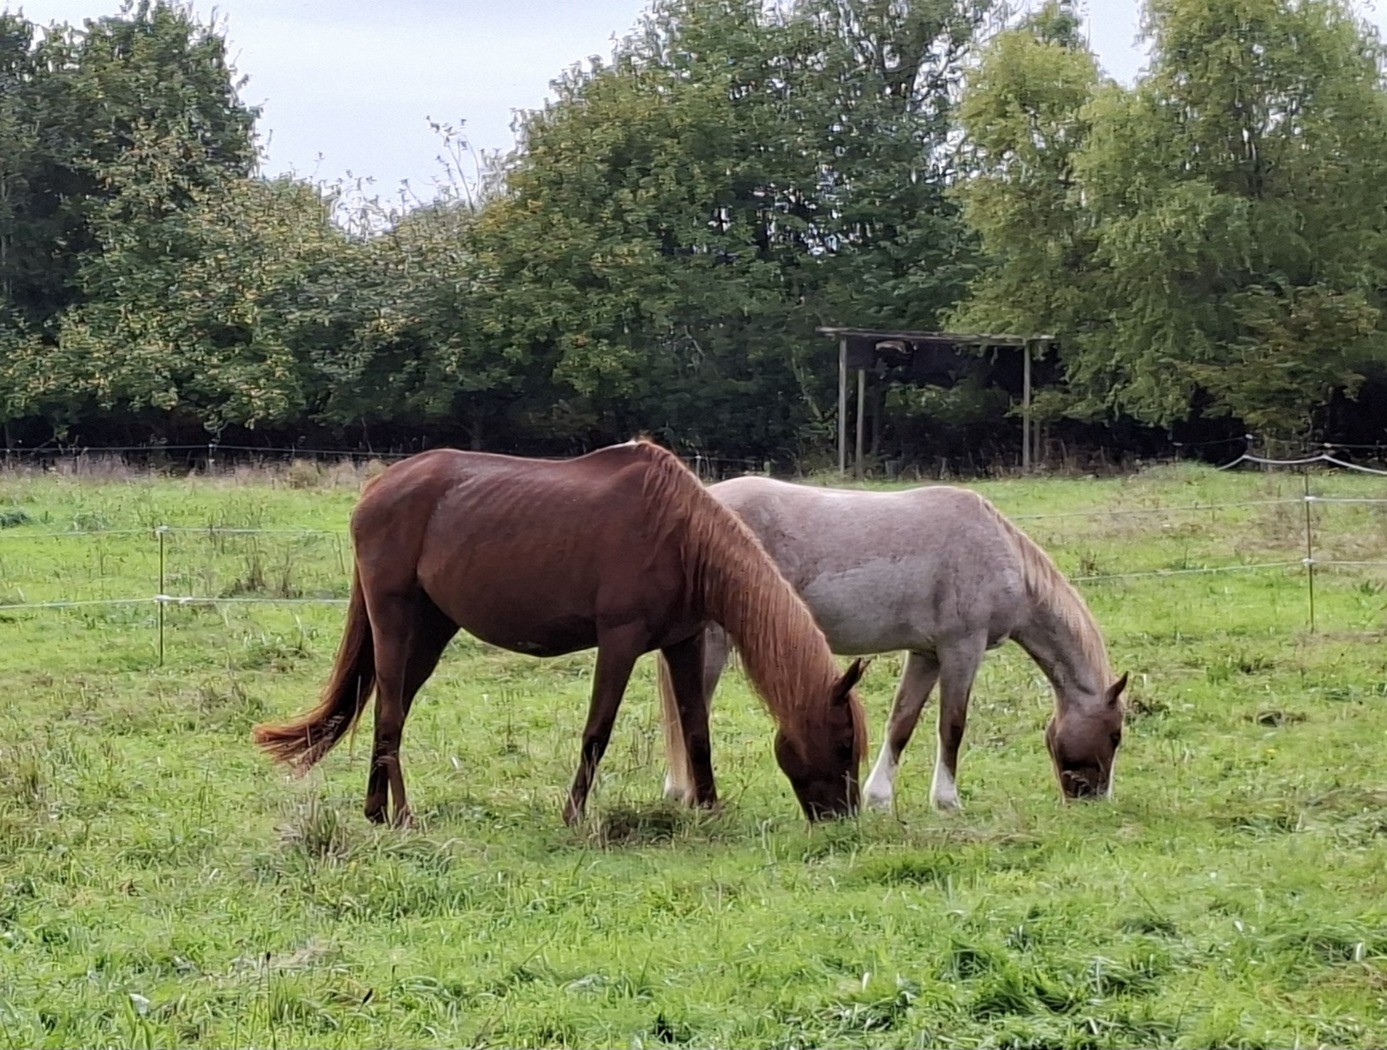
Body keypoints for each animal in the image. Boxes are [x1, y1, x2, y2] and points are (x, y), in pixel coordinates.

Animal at [253, 440, 868, 827]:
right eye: (842, 744)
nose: (843, 820)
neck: (680, 535)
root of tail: (376, 490)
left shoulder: (684, 642)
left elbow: (696, 731)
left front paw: (708, 809)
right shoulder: (621, 641)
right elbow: (597, 732)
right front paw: (573, 814)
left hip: (430, 631)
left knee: (391, 709)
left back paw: (378, 810)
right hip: (395, 622)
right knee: (388, 713)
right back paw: (400, 815)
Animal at [660, 477, 1127, 812]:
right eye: (1116, 734)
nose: (1096, 799)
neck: (998, 551)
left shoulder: (926, 655)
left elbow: (901, 723)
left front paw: (879, 798)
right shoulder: (962, 649)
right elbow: (952, 726)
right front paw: (947, 802)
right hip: (714, 642)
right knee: (689, 712)